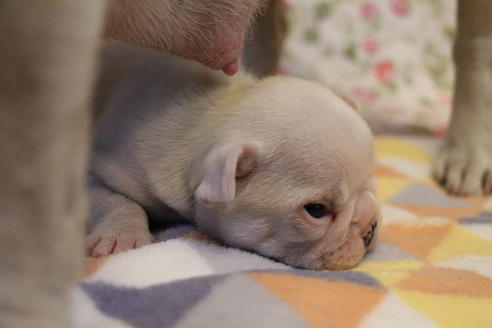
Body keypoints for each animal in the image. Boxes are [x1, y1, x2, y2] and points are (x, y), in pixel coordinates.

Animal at [88, 43, 380, 270]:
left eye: (371, 184)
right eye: (316, 210)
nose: (370, 225)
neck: (213, 110)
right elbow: (116, 200)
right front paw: (123, 236)